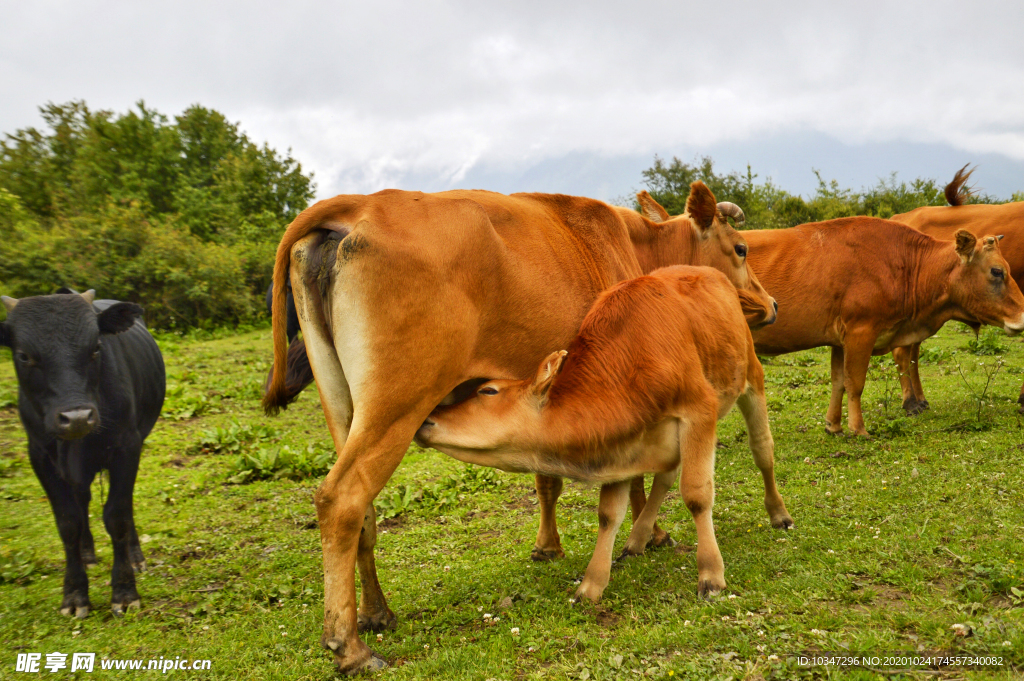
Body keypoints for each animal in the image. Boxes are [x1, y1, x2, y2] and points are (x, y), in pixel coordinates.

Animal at [415, 264, 774, 602]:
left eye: (488, 390)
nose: (425, 420)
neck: (631, 363)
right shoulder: (624, 445)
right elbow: (608, 514)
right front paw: (591, 584)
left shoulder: (698, 410)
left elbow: (697, 495)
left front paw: (711, 575)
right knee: (665, 477)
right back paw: (637, 538)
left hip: (751, 375)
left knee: (762, 449)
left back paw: (778, 513)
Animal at [741, 214, 1024, 436]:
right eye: (997, 271)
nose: (1023, 315)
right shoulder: (860, 332)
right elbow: (855, 383)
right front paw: (858, 429)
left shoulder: (840, 341)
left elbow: (839, 382)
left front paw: (834, 425)